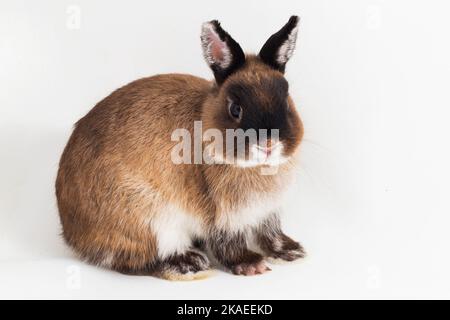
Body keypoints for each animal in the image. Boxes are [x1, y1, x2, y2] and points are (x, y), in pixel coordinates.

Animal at [54, 15, 304, 280]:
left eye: (286, 102)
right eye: (235, 109)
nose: (268, 144)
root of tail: (73, 235)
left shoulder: (267, 212)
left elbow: (270, 233)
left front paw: (291, 251)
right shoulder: (221, 215)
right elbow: (227, 243)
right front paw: (251, 264)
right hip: (147, 220)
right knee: (137, 261)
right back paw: (189, 264)